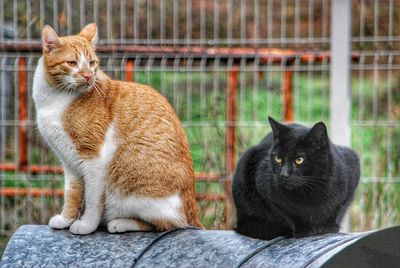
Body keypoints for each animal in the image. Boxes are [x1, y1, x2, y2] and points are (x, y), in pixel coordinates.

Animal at [33, 24, 203, 236]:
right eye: (72, 63)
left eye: (92, 63)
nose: (88, 76)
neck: (56, 98)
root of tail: (192, 209)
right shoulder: (69, 162)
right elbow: (72, 193)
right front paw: (66, 219)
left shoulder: (93, 158)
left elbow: (92, 199)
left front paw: (86, 225)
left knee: (170, 224)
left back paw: (120, 223)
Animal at [231, 116, 360, 239]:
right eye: (278, 158)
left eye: (299, 160)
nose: (284, 174)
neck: (310, 192)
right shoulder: (265, 191)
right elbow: (288, 213)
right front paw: (303, 229)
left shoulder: (352, 170)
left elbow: (338, 209)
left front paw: (329, 226)